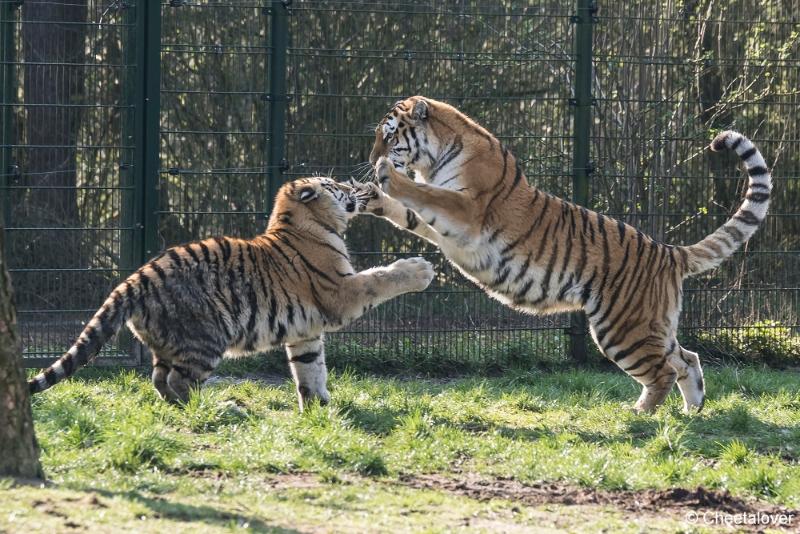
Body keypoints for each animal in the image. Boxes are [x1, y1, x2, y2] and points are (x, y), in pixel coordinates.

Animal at [28, 177, 434, 410]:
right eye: (337, 186)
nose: (355, 191)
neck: (304, 223)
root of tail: (136, 278)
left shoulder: (306, 331)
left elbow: (310, 367)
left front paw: (319, 408)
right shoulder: (341, 293)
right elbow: (378, 278)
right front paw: (418, 270)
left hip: (166, 342)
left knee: (159, 380)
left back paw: (181, 408)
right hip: (206, 337)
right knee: (180, 382)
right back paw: (220, 409)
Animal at [354, 96, 768, 414]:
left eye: (388, 134)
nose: (371, 157)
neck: (435, 156)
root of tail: (668, 252)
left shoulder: (467, 211)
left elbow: (425, 194)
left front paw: (386, 175)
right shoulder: (446, 229)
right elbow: (408, 212)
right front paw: (371, 196)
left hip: (622, 329)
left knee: (664, 370)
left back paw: (640, 413)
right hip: (651, 324)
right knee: (687, 359)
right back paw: (692, 410)